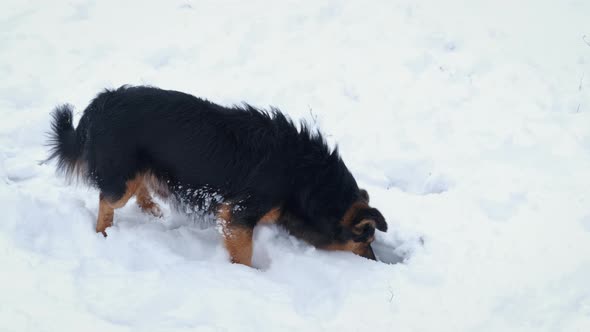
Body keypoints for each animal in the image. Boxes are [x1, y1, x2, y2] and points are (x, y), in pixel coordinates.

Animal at [47, 85, 388, 268]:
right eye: (367, 239)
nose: (377, 262)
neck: (307, 180)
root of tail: (98, 104)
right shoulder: (238, 214)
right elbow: (244, 254)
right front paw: (249, 277)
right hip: (120, 177)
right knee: (108, 200)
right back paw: (104, 232)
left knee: (140, 186)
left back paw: (152, 209)